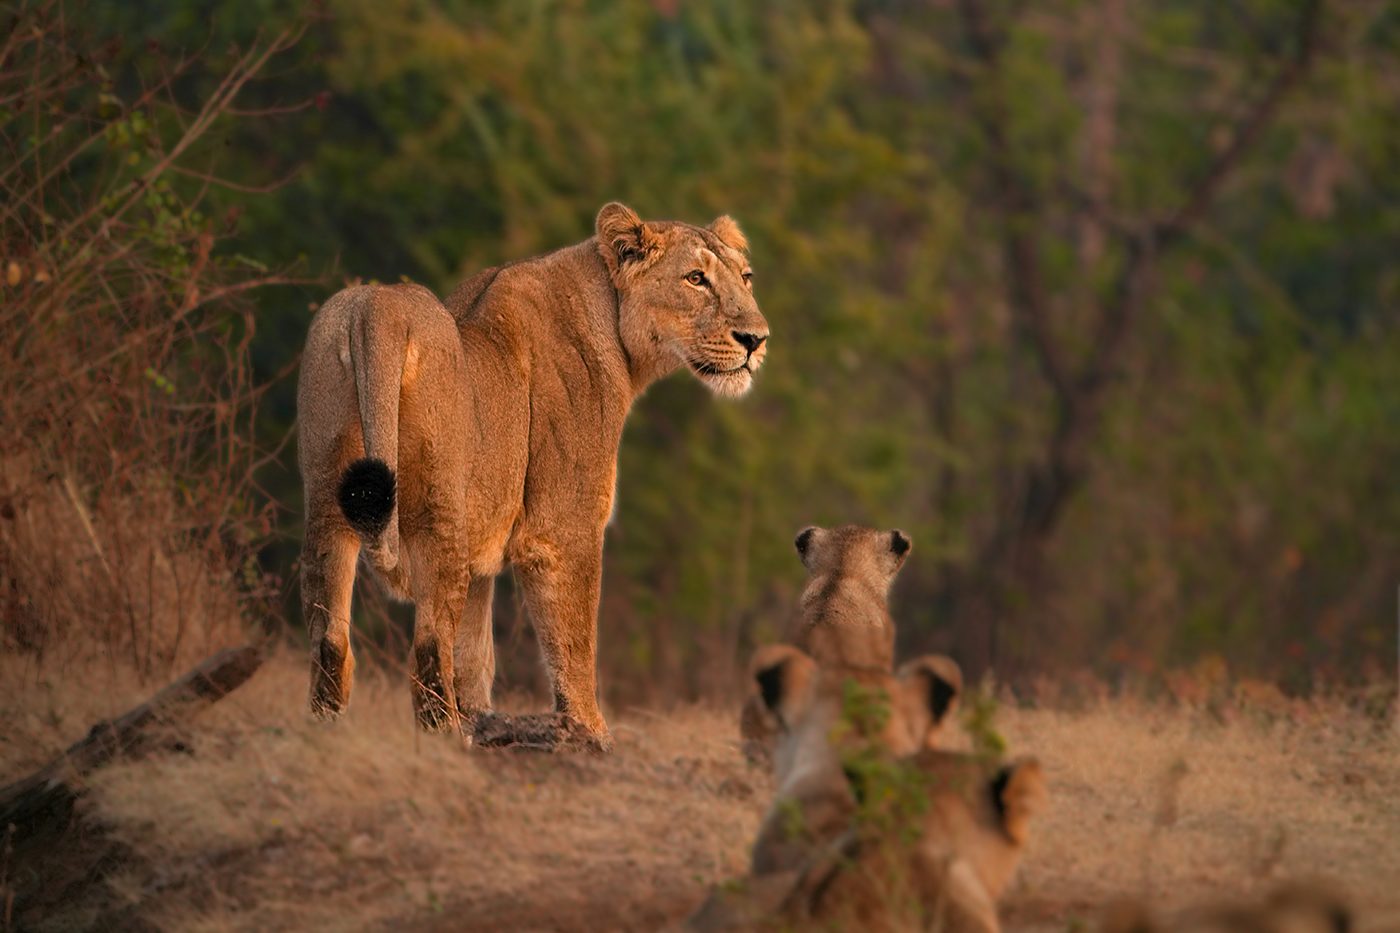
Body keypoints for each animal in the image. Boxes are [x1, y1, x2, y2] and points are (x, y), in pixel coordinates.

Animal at [296, 202, 767, 746]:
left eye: (746, 277)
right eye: (696, 279)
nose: (757, 340)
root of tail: (377, 309)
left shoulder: (481, 550)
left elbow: (475, 655)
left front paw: (481, 720)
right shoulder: (564, 528)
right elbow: (575, 641)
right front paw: (592, 734)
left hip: (329, 498)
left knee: (331, 640)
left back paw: (330, 732)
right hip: (439, 505)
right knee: (428, 649)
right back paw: (444, 741)